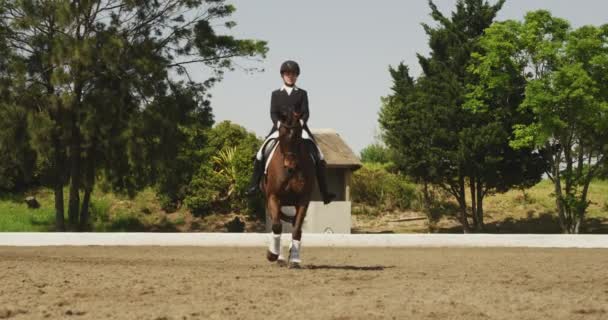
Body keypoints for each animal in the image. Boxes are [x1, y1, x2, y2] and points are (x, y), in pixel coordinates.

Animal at [260, 107, 316, 268]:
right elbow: (277, 226)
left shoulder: (303, 200)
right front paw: (272, 255)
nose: (290, 166)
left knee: (294, 224)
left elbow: (297, 230)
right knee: (277, 224)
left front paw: (295, 259)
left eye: (298, 135)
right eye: (281, 133)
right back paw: (279, 257)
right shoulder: (273, 197)